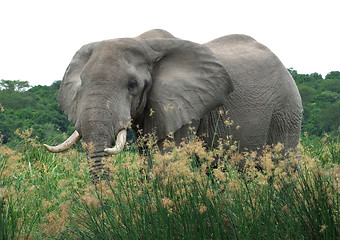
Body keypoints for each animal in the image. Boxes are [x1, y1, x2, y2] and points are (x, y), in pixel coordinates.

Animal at [43, 28, 302, 182]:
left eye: (132, 85)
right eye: (81, 84)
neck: (143, 42)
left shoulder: (183, 106)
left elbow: (165, 157)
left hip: (286, 111)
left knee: (283, 166)